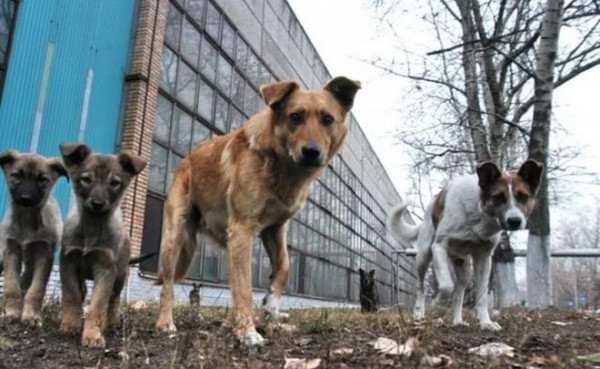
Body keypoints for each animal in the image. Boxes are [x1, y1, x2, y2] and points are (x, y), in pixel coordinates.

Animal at [0, 150, 68, 324]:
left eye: (42, 179)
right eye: (16, 175)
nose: (26, 198)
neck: (27, 221)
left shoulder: (43, 256)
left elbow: (36, 289)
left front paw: (31, 315)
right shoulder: (10, 251)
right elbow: (11, 286)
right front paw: (12, 312)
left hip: (31, 263)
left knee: (26, 281)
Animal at [156, 76, 360, 344]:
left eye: (327, 120)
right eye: (295, 117)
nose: (311, 152)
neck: (280, 165)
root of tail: (186, 159)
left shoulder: (275, 228)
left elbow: (284, 265)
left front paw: (272, 304)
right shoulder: (242, 230)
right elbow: (244, 287)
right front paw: (247, 331)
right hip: (175, 235)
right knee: (167, 283)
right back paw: (165, 323)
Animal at [390, 160, 544, 330]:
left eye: (523, 196)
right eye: (498, 197)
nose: (514, 221)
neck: (479, 212)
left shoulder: (484, 257)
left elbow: (481, 296)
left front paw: (486, 323)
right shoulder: (439, 247)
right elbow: (446, 285)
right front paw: (438, 307)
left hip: (464, 267)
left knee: (458, 293)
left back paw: (457, 321)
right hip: (424, 256)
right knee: (420, 285)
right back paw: (419, 312)